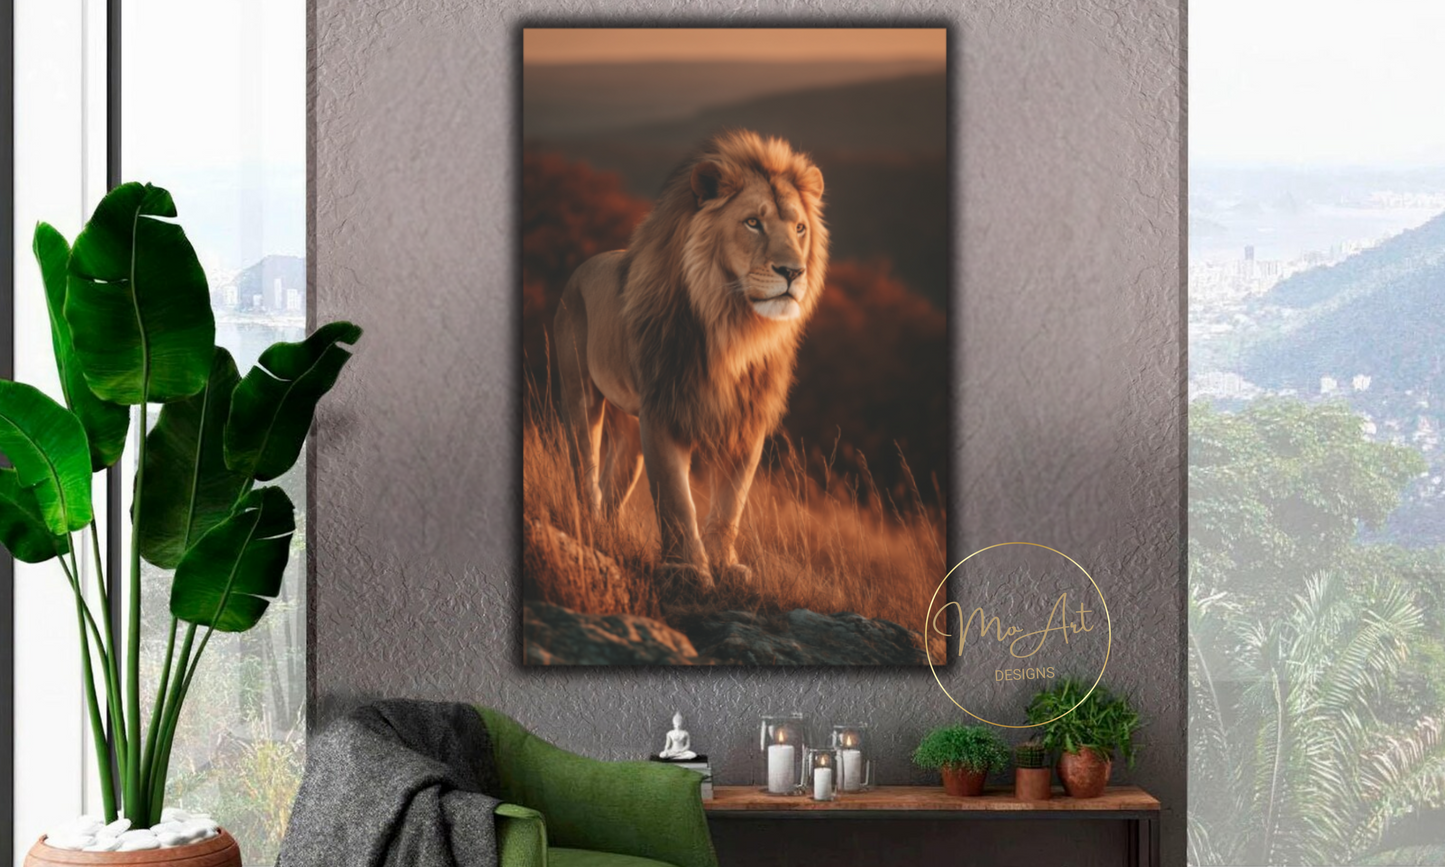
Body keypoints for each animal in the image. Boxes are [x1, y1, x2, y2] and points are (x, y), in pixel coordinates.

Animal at [554, 130, 828, 597]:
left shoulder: (745, 424)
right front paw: (688, 572)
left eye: (799, 228)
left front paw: (726, 567)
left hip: (631, 424)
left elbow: (731, 504)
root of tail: (582, 266)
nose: (793, 272)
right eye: (752, 223)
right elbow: (675, 499)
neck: (733, 328)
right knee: (585, 465)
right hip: (580, 396)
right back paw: (588, 524)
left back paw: (609, 531)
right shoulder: (664, 410)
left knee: (616, 474)